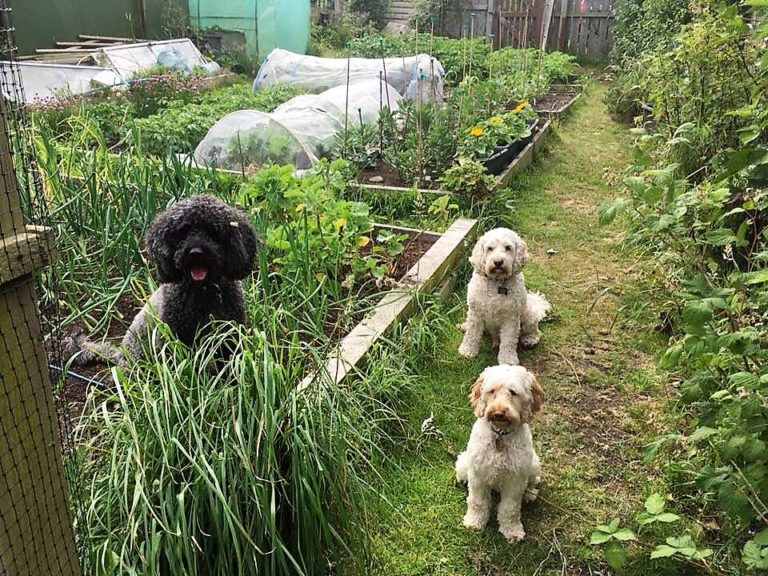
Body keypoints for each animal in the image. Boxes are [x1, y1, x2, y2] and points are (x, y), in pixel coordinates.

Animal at [67, 195, 258, 364]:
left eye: (213, 231)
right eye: (183, 232)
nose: (196, 253)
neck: (202, 291)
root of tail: (120, 354)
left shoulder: (229, 334)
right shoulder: (174, 339)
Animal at [456, 366, 544, 544]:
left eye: (513, 392)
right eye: (492, 391)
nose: (498, 413)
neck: (500, 434)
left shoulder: (515, 481)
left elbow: (510, 509)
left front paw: (512, 531)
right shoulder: (478, 475)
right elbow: (477, 502)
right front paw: (474, 522)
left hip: (534, 465)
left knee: (533, 482)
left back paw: (530, 494)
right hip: (464, 463)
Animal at [460, 226, 548, 364]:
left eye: (508, 247)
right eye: (490, 248)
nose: (498, 262)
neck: (497, 282)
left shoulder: (510, 318)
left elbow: (508, 341)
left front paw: (508, 360)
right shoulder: (476, 313)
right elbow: (472, 334)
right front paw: (467, 350)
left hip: (528, 314)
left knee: (535, 331)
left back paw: (529, 340)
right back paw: (465, 325)